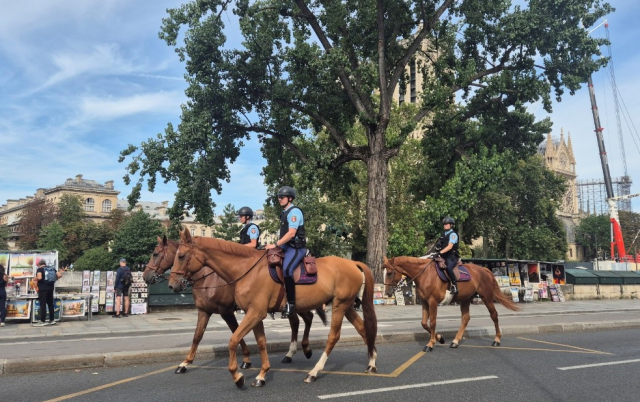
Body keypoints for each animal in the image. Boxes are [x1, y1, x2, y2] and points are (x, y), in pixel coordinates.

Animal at [143, 236, 328, 374]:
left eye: (155, 253)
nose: (146, 276)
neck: (208, 277)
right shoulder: (204, 311)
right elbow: (197, 336)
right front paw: (185, 363)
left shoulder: (226, 311)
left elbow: (235, 332)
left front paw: (246, 359)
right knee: (301, 320)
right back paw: (294, 352)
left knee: (303, 319)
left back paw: (301, 350)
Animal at [168, 231, 378, 388]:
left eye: (181, 256)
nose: (172, 285)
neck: (246, 269)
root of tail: (352, 262)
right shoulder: (254, 314)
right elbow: (261, 342)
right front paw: (262, 374)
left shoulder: (253, 313)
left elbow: (233, 339)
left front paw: (237, 376)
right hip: (347, 306)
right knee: (363, 329)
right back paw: (371, 362)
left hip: (339, 306)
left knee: (333, 336)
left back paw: (314, 372)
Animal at [382, 258, 516, 352]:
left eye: (389, 273)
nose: (387, 293)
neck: (425, 275)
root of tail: (484, 269)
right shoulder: (425, 302)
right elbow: (424, 323)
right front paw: (440, 338)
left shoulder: (432, 301)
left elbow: (433, 322)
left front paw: (431, 343)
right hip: (466, 299)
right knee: (465, 318)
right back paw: (455, 341)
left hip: (486, 297)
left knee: (494, 315)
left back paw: (497, 340)